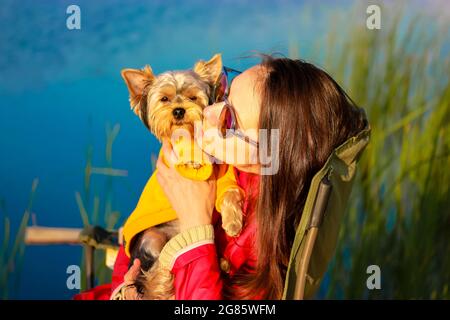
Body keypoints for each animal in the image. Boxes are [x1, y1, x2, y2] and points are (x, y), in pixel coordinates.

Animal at [120, 53, 243, 298]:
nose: (178, 110)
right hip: (152, 239)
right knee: (158, 268)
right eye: (164, 99)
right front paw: (193, 158)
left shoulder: (227, 180)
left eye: (192, 97)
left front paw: (233, 223)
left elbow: (230, 193)